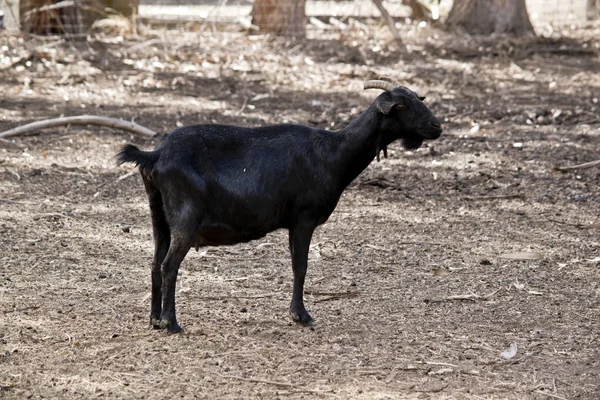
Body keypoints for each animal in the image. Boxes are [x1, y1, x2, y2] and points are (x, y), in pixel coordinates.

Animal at [116, 77, 440, 332]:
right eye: (401, 106)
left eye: (418, 99)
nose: (437, 127)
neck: (332, 153)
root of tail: (155, 156)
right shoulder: (303, 217)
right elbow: (301, 265)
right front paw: (301, 315)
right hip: (185, 216)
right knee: (169, 265)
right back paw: (171, 323)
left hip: (159, 215)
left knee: (155, 264)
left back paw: (155, 320)